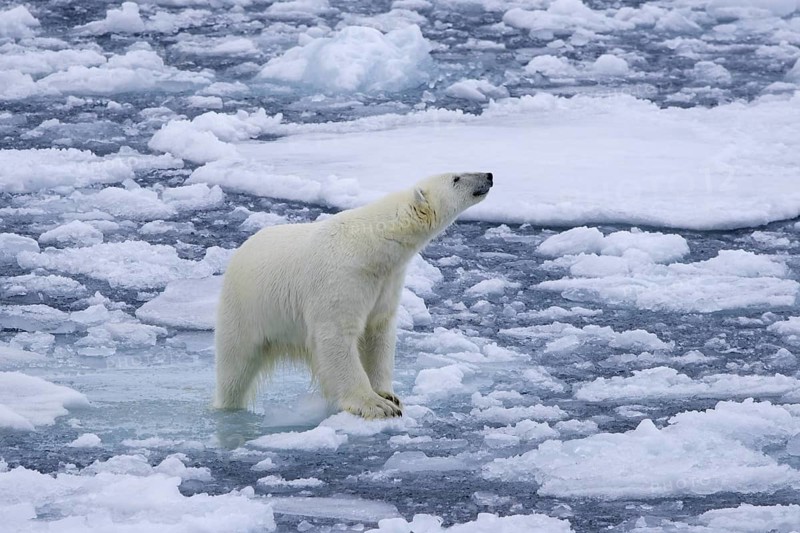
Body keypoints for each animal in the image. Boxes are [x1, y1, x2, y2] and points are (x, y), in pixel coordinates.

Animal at [214, 172, 493, 418]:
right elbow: (337, 335)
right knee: (236, 365)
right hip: (247, 306)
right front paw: (376, 405)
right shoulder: (342, 277)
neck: (373, 244)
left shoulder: (385, 281)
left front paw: (388, 395)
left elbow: (378, 332)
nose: (489, 175)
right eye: (456, 178)